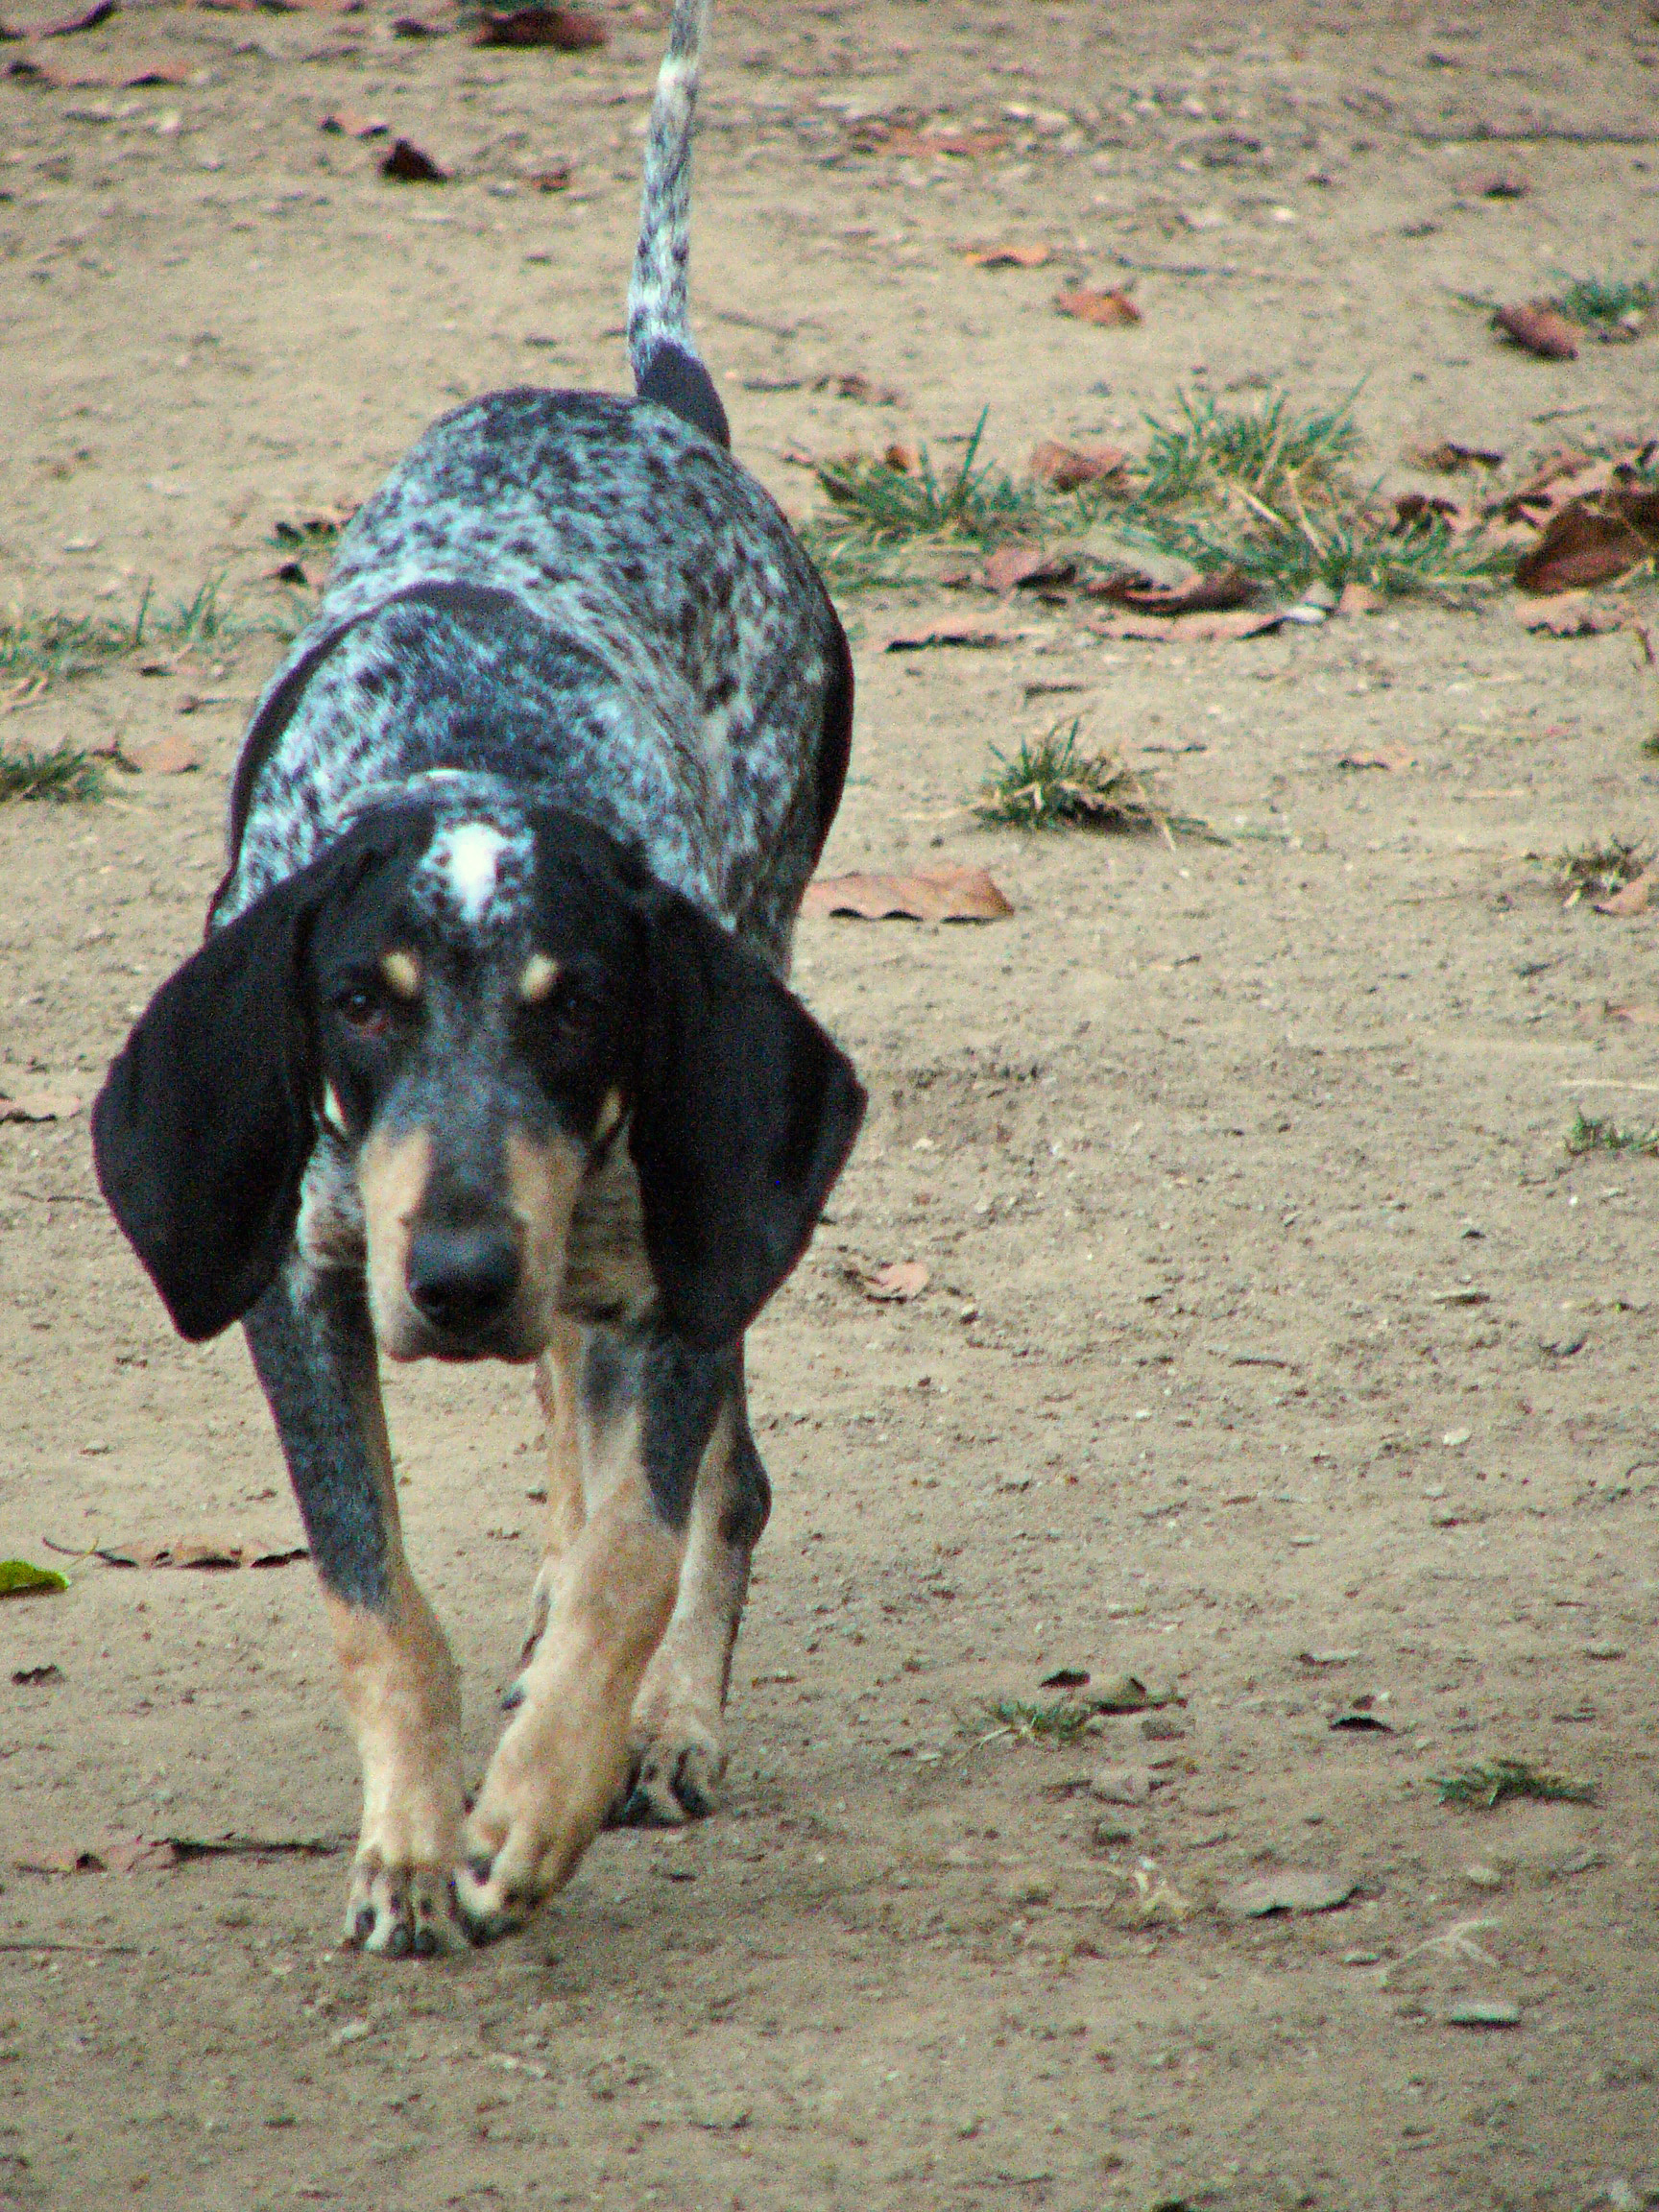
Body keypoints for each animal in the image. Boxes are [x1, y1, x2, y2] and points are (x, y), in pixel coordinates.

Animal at [89, 0, 862, 1963]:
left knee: (702, 1480)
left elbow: (639, 1553)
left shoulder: (678, 1246)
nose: (452, 1277)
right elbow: (376, 1596)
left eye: (577, 1003)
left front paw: (545, 1791)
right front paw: (412, 1839)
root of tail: (646, 404)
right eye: (355, 1005)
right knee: (571, 1431)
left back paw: (663, 1721)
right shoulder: (297, 1279)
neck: (472, 750)